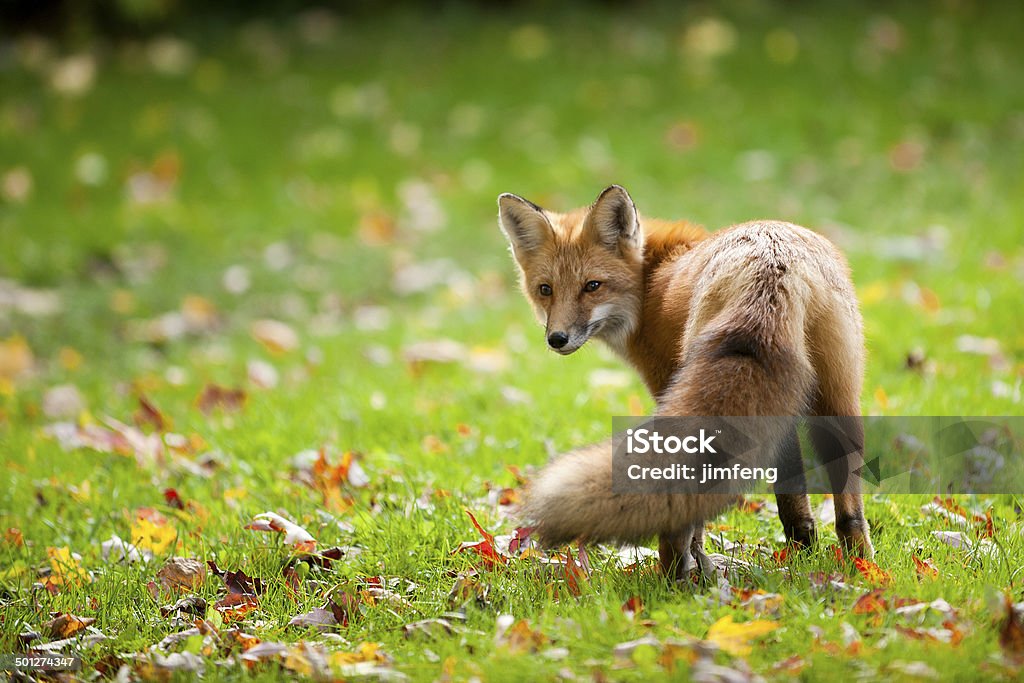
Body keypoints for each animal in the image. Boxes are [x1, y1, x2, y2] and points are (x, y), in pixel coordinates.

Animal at [495, 185, 872, 577]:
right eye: (545, 289)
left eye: (592, 286)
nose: (557, 339)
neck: (649, 285)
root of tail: (773, 260)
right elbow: (792, 491)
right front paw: (802, 550)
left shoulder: (666, 383)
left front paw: (697, 560)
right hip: (838, 399)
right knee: (849, 511)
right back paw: (860, 567)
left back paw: (673, 573)